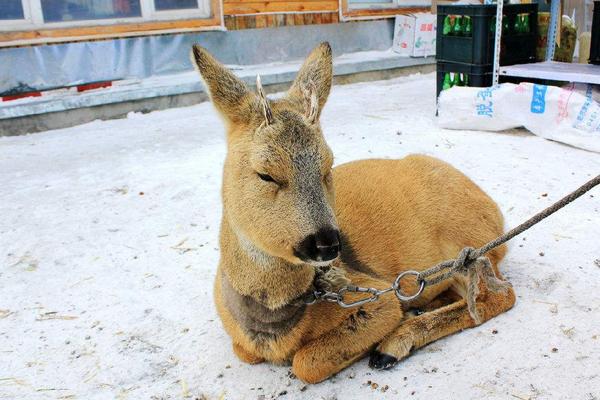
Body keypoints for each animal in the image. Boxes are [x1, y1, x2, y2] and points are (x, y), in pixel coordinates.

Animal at [191, 42, 516, 382]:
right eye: (265, 174)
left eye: (328, 166)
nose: (327, 244)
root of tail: (497, 215)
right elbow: (243, 352)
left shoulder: (378, 295)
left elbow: (306, 363)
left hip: (465, 245)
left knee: (499, 294)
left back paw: (394, 343)